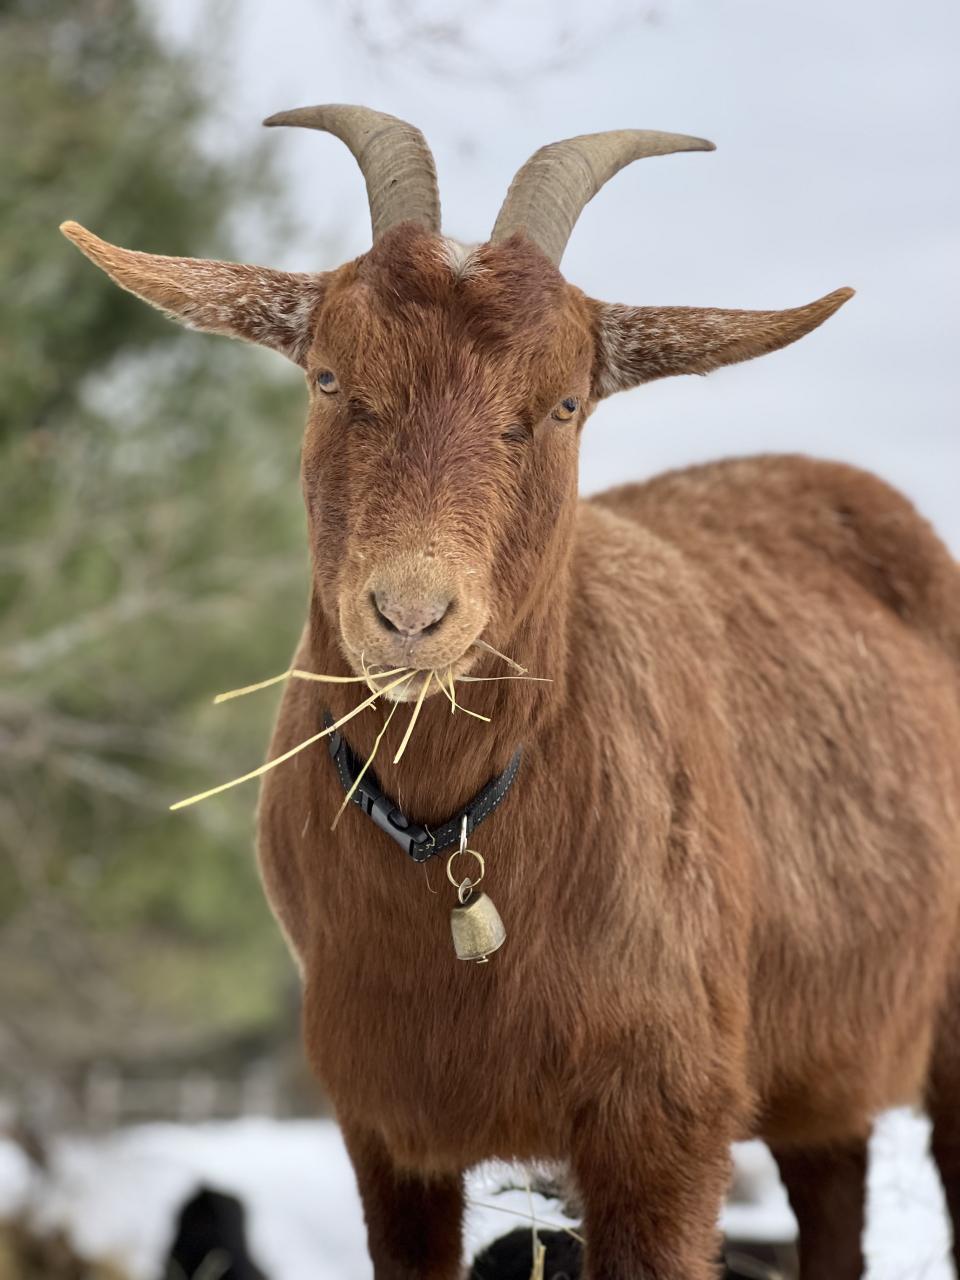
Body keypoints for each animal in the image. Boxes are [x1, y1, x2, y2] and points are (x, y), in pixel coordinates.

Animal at [62, 105, 960, 1280]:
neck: (456, 840)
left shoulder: (667, 1120)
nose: (409, 613)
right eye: (329, 377)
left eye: (564, 401)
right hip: (826, 1088)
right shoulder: (384, 1123)